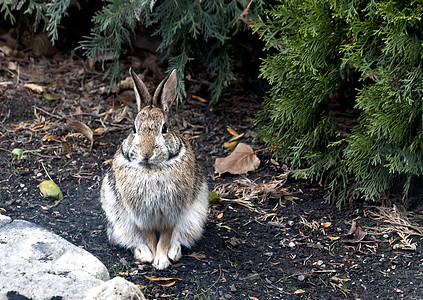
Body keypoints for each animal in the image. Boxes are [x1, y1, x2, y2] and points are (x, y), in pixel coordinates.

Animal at [101, 68, 210, 270]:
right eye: (133, 129)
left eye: (164, 128)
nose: (146, 153)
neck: (150, 169)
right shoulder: (142, 217)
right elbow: (149, 236)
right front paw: (152, 257)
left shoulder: (170, 215)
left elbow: (166, 236)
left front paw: (161, 261)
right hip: (119, 222)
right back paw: (143, 254)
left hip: (194, 219)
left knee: (180, 237)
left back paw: (174, 252)